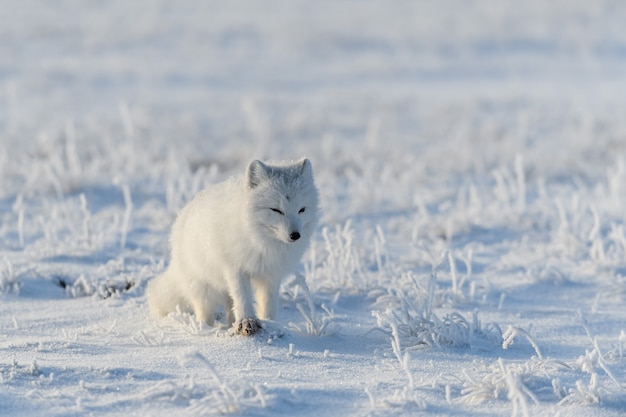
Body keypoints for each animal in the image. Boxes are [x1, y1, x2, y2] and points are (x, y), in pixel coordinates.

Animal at [146, 158, 316, 334]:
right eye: (276, 210)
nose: (295, 235)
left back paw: (230, 324)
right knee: (203, 311)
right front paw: (247, 320)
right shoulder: (235, 269)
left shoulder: (272, 275)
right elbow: (243, 298)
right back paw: (204, 329)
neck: (262, 242)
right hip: (204, 288)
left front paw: (270, 323)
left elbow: (269, 304)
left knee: (230, 305)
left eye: (302, 209)